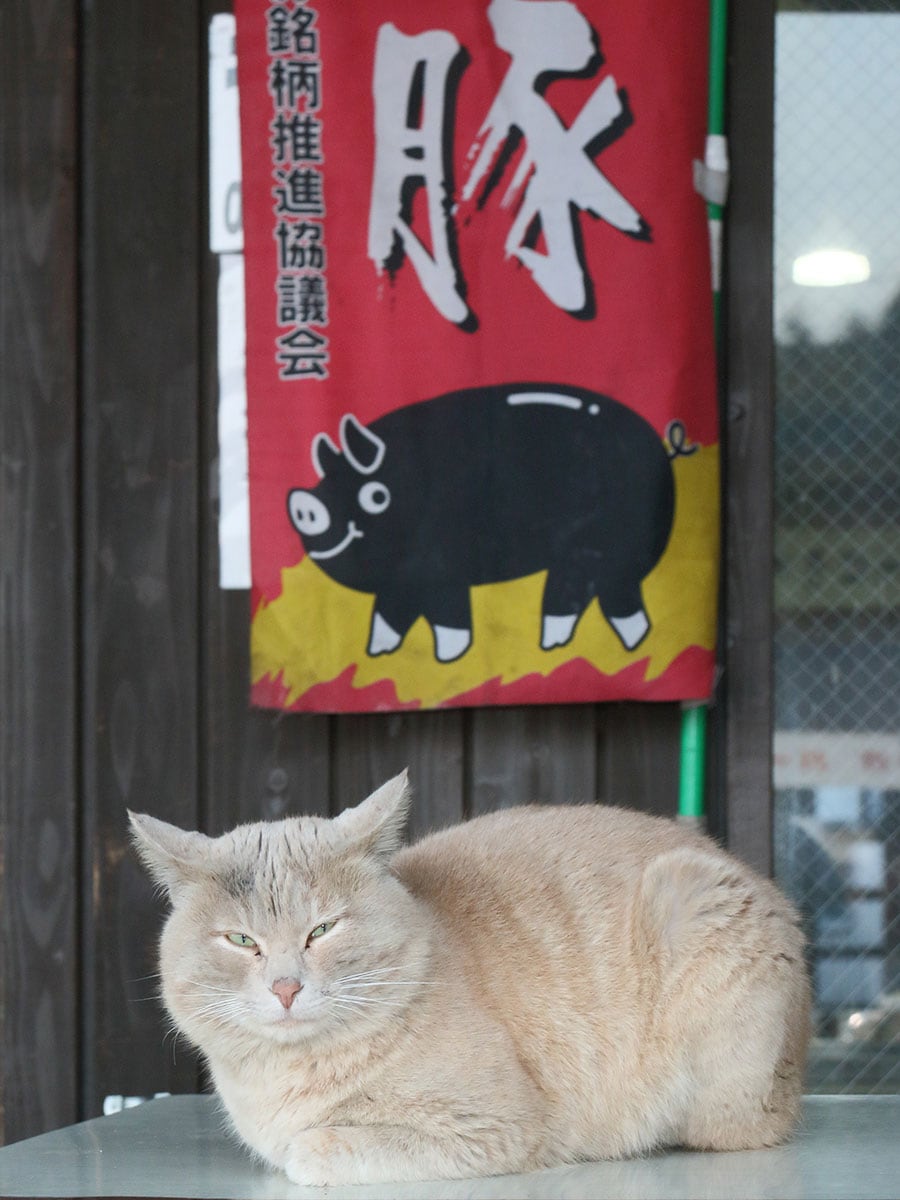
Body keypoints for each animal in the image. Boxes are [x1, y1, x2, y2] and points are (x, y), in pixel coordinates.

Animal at [130, 772, 816, 1185]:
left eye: (322, 930)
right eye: (241, 940)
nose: (285, 987)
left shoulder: (493, 1126)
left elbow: (318, 1148)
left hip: (694, 905)